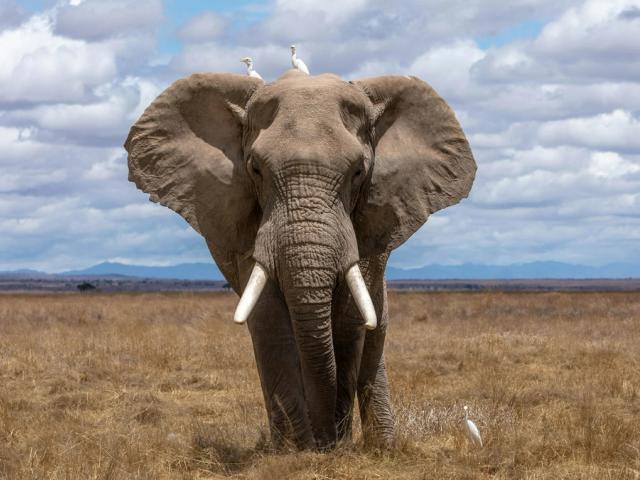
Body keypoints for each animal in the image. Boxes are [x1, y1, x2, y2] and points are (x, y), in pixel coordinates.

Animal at [124, 69, 476, 450]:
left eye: (358, 172)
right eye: (255, 169)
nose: (326, 441)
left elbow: (350, 320)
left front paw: (334, 446)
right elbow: (269, 320)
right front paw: (296, 450)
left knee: (375, 331)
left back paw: (382, 446)